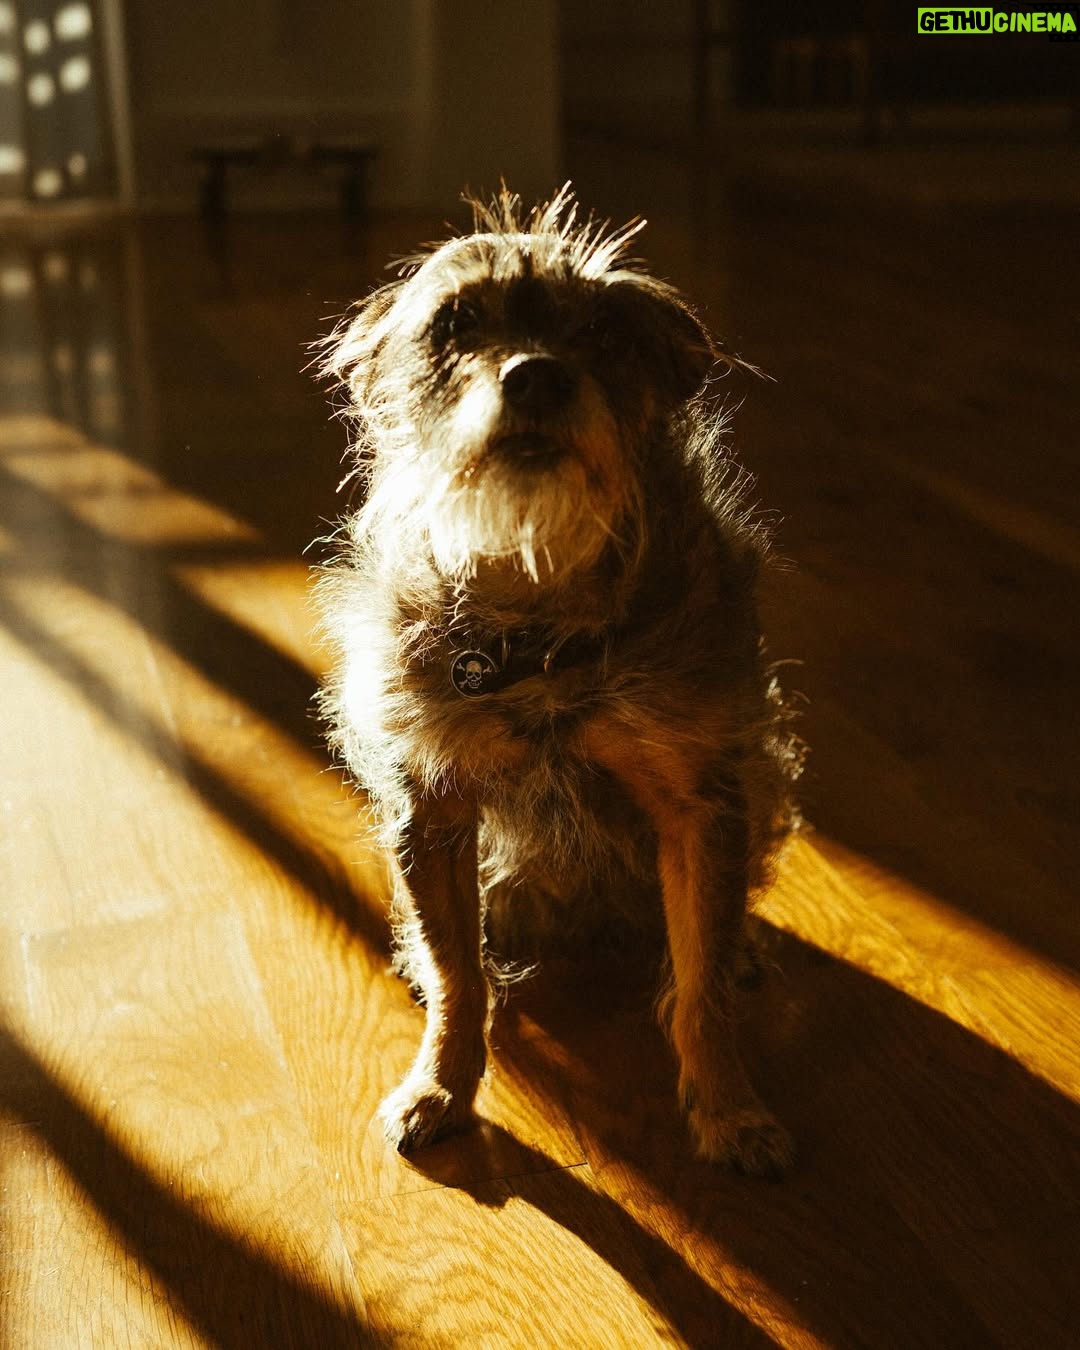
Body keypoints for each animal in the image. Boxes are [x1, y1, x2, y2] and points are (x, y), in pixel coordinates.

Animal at [315, 187, 802, 1177]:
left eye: (606, 334)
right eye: (456, 324)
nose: (537, 375)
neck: (536, 608)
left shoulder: (703, 802)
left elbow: (699, 988)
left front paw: (730, 1108)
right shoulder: (433, 809)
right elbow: (460, 975)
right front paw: (440, 1086)